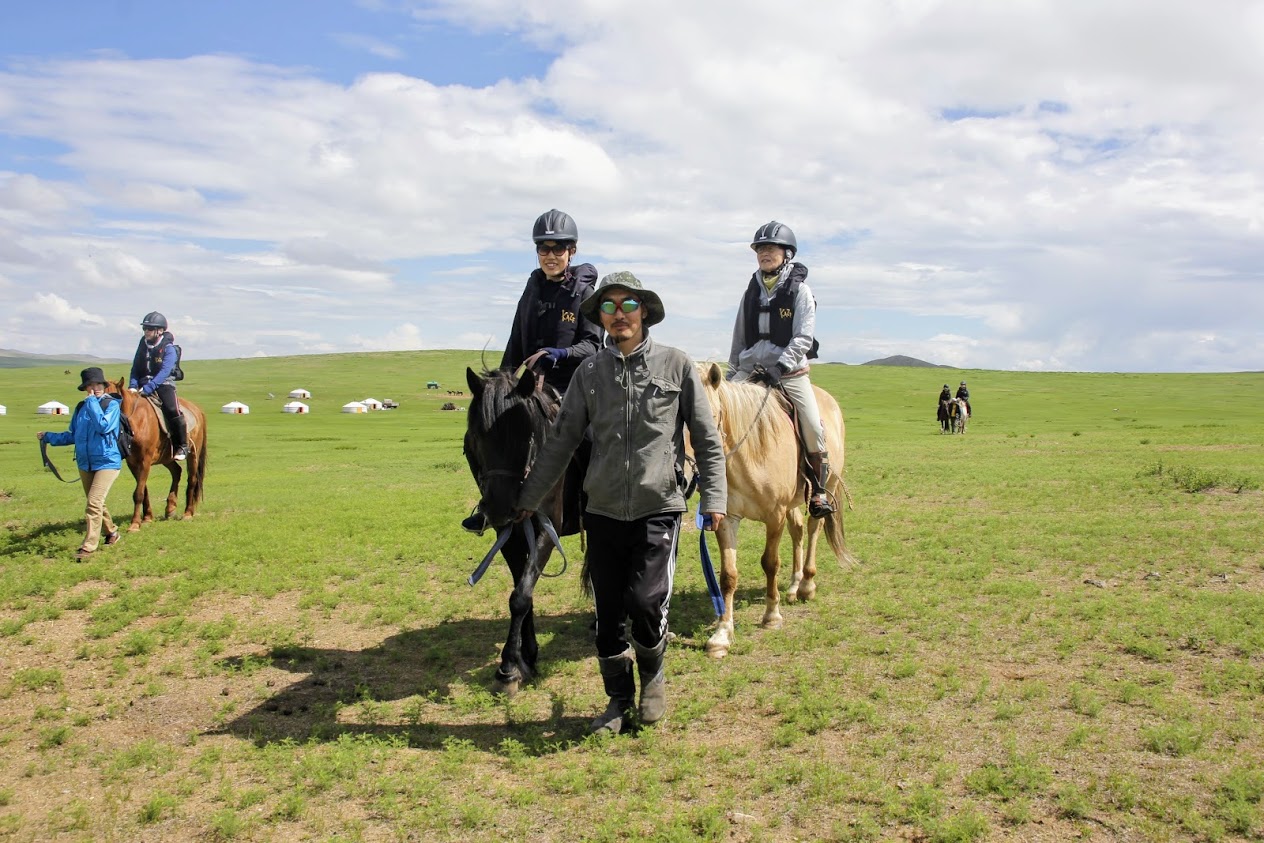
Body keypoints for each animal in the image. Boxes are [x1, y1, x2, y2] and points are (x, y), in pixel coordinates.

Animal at [106, 379, 207, 530]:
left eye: (113, 398)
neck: (137, 421)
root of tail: (197, 409)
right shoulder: (133, 463)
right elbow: (143, 490)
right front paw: (147, 518)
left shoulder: (145, 461)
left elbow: (139, 493)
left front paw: (134, 524)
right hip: (167, 457)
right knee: (176, 471)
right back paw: (170, 508)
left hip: (193, 454)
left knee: (192, 480)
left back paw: (188, 513)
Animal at [465, 366, 581, 697]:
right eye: (476, 436)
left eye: (525, 434)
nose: (500, 505)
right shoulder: (508, 534)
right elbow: (522, 590)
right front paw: (524, 657)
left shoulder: (547, 528)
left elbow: (520, 596)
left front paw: (507, 668)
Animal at [692, 363, 859, 657]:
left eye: (709, 418)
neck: (748, 454)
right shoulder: (727, 519)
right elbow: (728, 575)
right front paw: (722, 633)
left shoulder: (775, 516)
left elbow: (770, 563)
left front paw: (771, 616)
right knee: (798, 531)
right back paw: (793, 585)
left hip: (823, 488)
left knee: (813, 529)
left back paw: (806, 585)